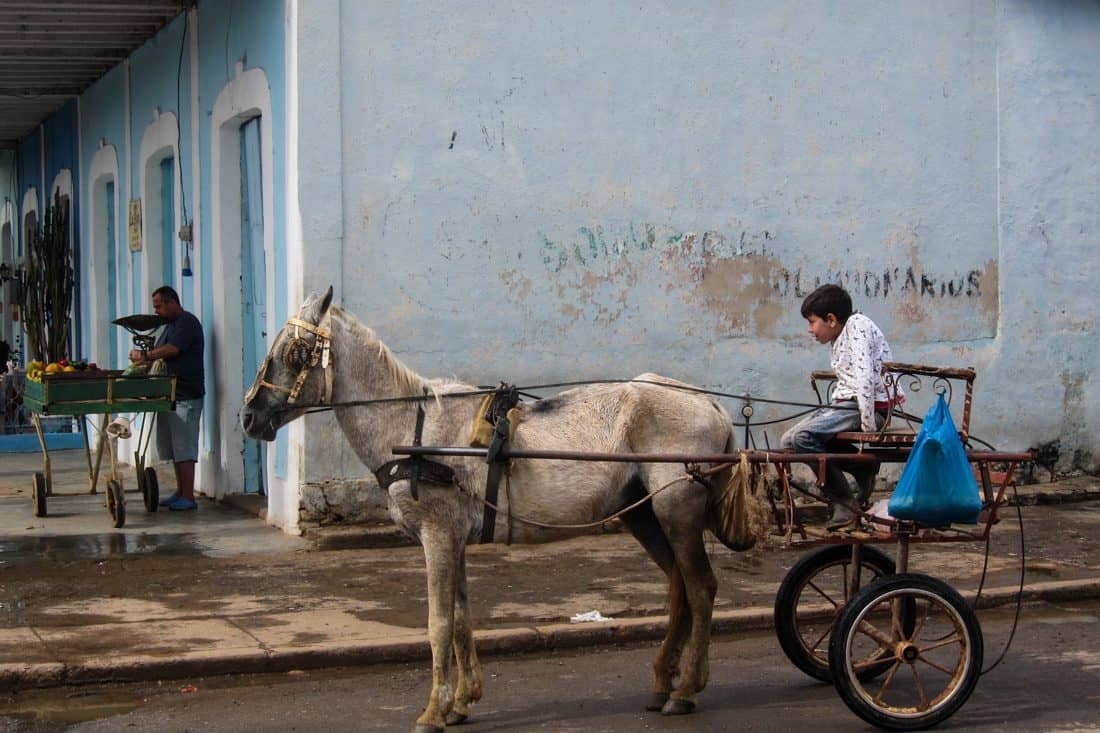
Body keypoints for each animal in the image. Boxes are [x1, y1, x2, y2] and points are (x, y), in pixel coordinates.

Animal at [240, 290, 739, 730]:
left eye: (296, 351)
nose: (248, 416)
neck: (413, 428)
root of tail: (708, 402)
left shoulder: (438, 535)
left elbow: (439, 623)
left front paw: (433, 711)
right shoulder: (454, 538)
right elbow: (461, 618)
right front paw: (462, 702)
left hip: (677, 511)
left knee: (700, 588)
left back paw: (686, 690)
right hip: (645, 515)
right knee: (680, 588)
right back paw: (664, 682)